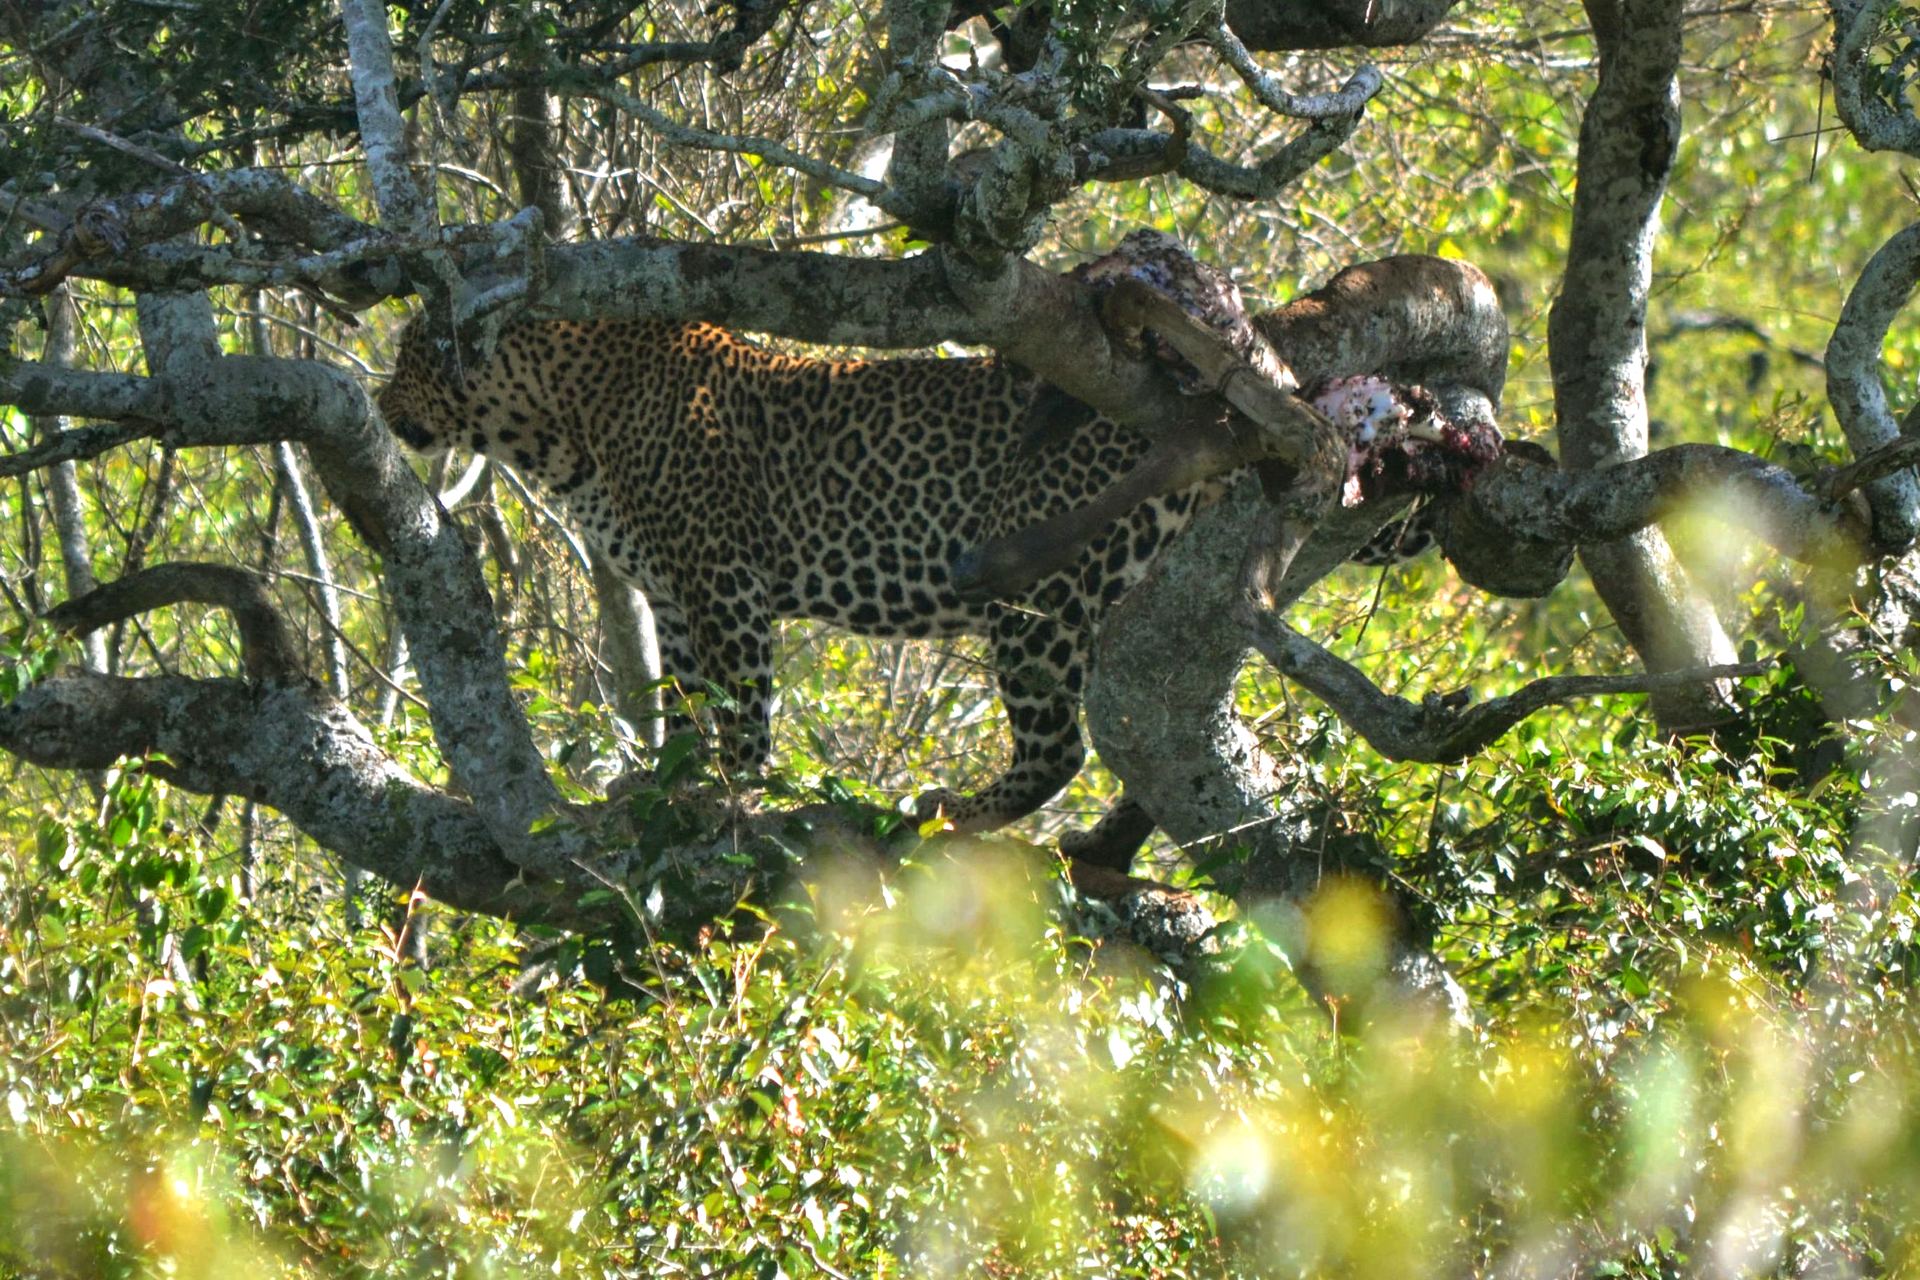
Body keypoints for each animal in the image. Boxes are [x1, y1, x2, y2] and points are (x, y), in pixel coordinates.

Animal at [377, 313, 1451, 841]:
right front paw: (663, 791)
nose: (383, 405)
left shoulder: (723, 582)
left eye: (408, 359)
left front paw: (725, 798)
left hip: (1034, 593)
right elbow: (684, 706)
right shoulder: (676, 598)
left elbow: (741, 715)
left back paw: (948, 812)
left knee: (1058, 747)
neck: (562, 420)